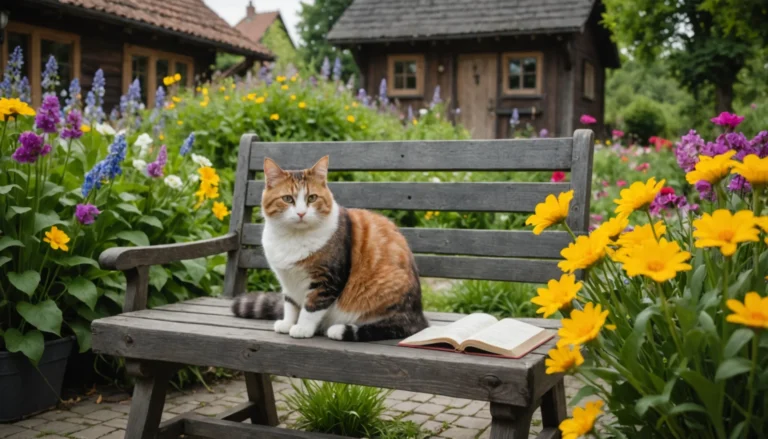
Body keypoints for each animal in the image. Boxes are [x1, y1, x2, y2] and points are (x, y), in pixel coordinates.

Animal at [231, 156, 428, 342]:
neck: (294, 238)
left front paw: (302, 328)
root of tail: (419, 316)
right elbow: (290, 304)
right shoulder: (287, 281)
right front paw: (288, 323)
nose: (301, 213)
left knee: (395, 327)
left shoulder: (327, 279)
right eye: (287, 198)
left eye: (312, 198)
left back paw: (339, 329)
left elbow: (312, 307)